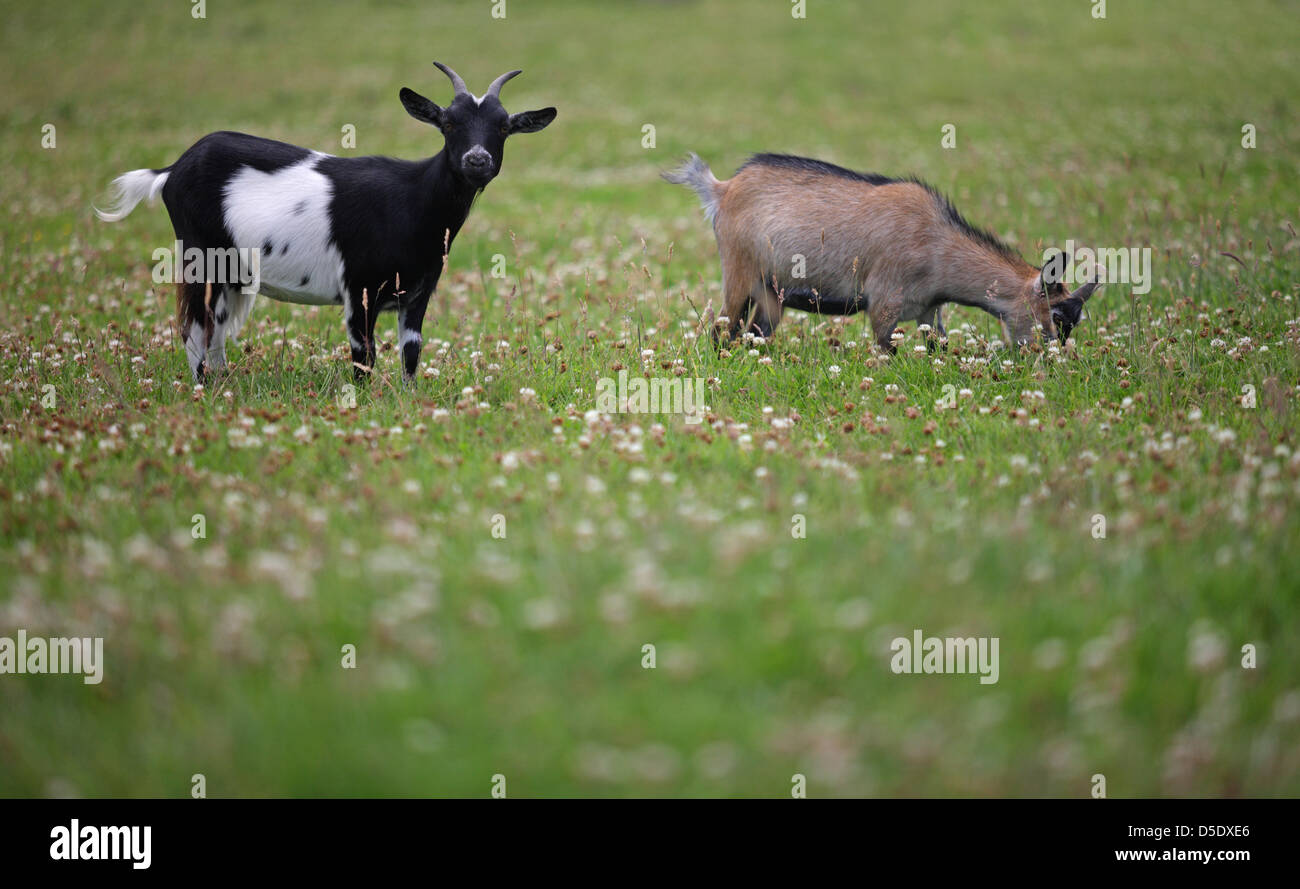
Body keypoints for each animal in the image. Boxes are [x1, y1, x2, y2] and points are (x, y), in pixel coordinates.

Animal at [94, 61, 553, 382]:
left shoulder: (418, 292)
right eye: (449, 122)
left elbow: (411, 352)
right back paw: (201, 388)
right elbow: (364, 357)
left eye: (503, 127)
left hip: (232, 271)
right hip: (198, 255)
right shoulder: (358, 289)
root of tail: (173, 169)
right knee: (194, 328)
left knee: (216, 329)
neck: (413, 198)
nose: (477, 160)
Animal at [660, 152, 1097, 350]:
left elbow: (938, 346)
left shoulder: (928, 309)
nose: (1052, 363)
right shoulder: (884, 303)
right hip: (739, 270)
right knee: (722, 328)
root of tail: (721, 189)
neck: (937, 245)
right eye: (1057, 316)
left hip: (771, 292)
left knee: (755, 333)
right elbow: (887, 349)